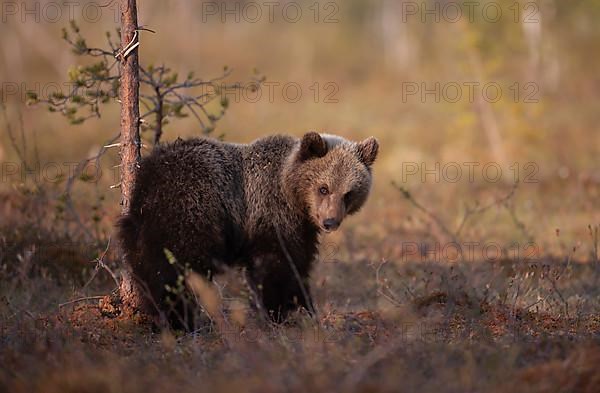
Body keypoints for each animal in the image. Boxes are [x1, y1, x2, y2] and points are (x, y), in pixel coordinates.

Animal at [118, 132, 378, 328]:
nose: (330, 222)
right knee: (176, 269)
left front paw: (303, 308)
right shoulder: (271, 216)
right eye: (323, 188)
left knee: (145, 267)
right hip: (190, 210)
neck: (292, 195)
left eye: (348, 193)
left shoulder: (301, 230)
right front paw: (281, 311)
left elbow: (298, 266)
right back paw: (178, 319)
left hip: (137, 227)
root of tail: (149, 178)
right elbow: (275, 268)